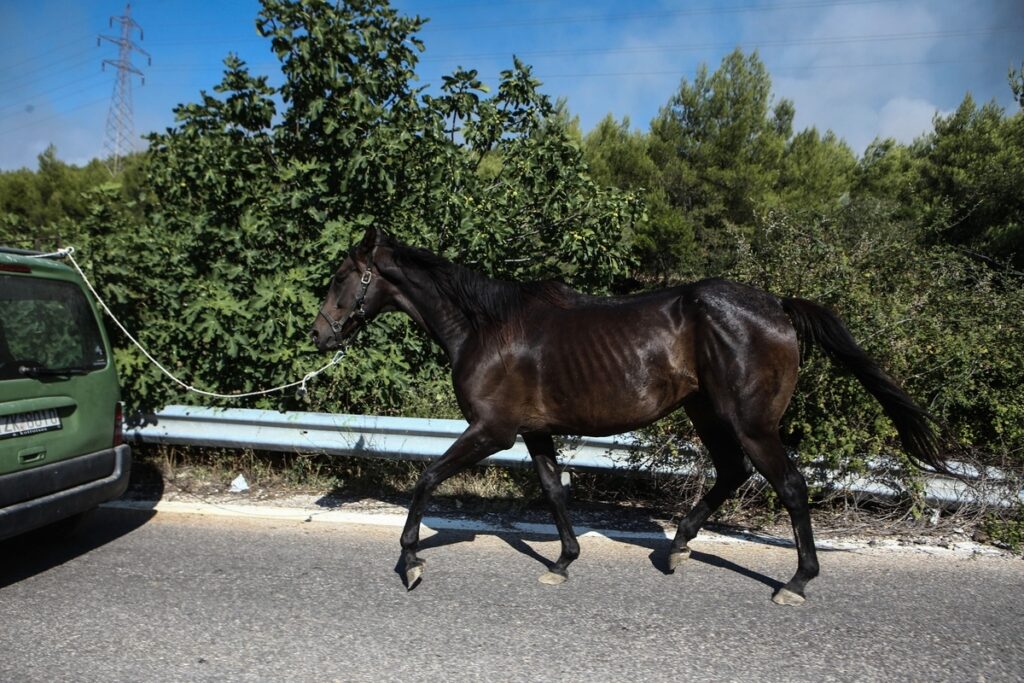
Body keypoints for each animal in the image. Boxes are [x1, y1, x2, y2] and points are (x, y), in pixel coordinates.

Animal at [311, 228, 942, 602]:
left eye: (341, 276)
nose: (319, 335)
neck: (485, 328)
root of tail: (780, 308)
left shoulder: (493, 430)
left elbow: (426, 478)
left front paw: (411, 561)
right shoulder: (534, 431)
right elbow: (553, 491)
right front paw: (563, 562)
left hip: (751, 422)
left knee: (788, 484)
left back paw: (795, 581)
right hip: (707, 413)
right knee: (732, 473)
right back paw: (678, 547)